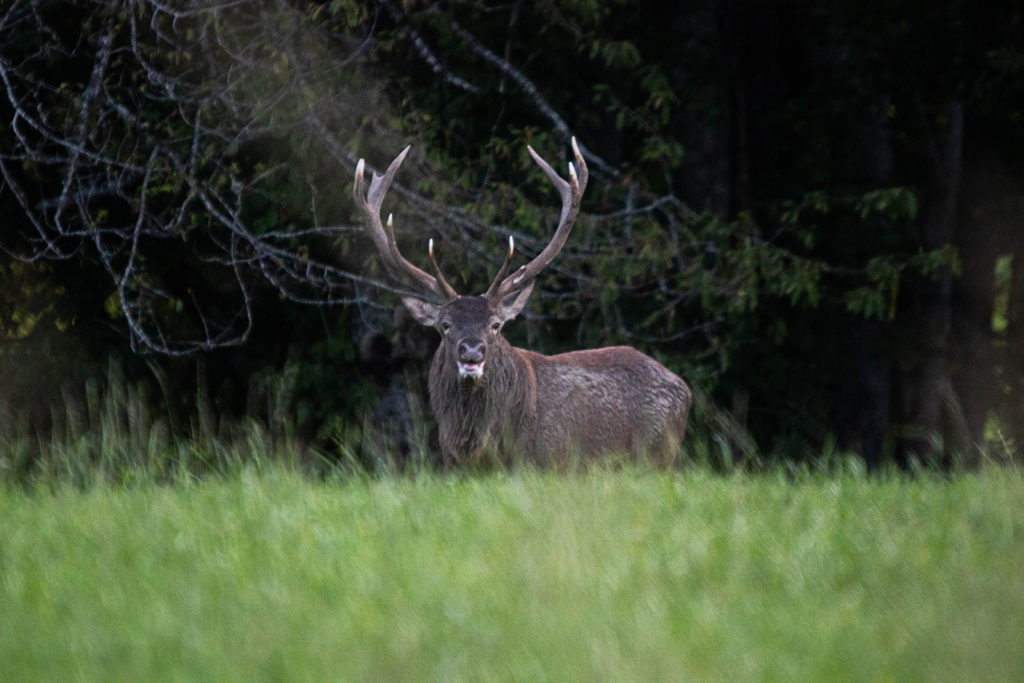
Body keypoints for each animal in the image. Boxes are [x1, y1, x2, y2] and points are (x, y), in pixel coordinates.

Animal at [354, 139, 696, 471]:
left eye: (496, 324)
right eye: (445, 325)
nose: (472, 351)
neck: (480, 451)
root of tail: (684, 388)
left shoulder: (551, 465)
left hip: (656, 453)